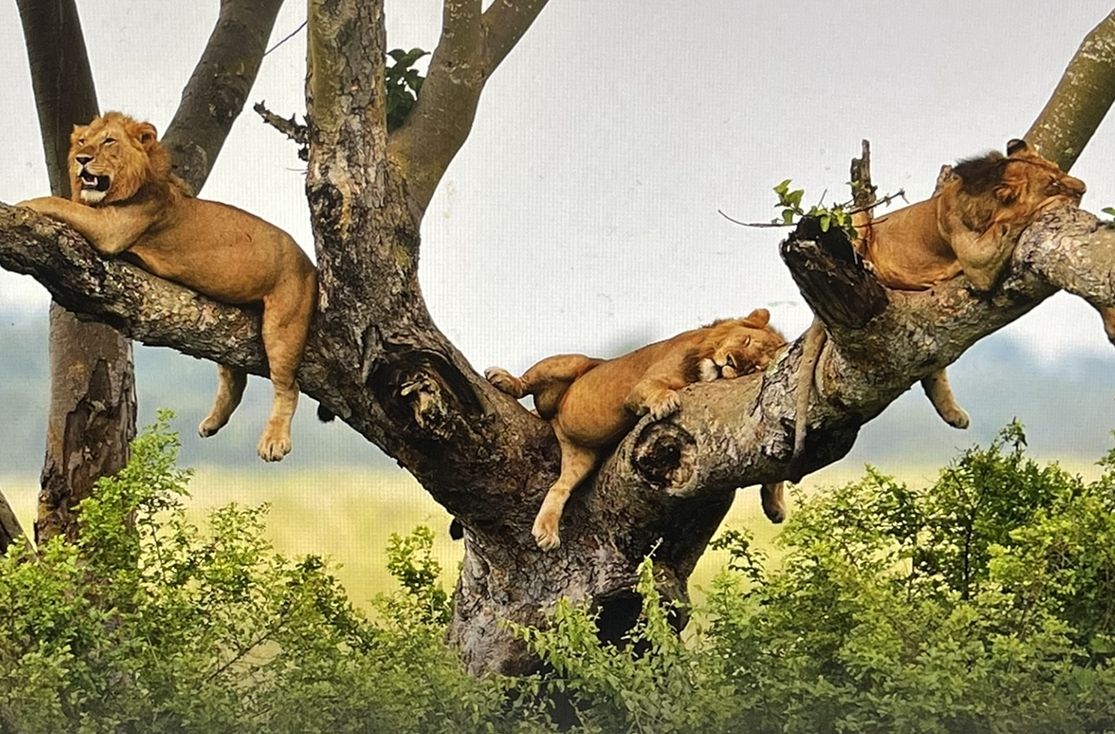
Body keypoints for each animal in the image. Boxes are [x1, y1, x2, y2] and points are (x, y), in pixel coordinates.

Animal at [18, 112, 317, 462]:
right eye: (81, 141)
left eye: (108, 141)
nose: (82, 159)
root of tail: (310, 264)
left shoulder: (111, 229)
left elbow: (59, 202)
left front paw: (22, 203)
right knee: (234, 377)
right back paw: (212, 423)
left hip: (284, 324)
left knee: (287, 386)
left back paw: (273, 441)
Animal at [486, 308, 787, 551]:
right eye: (745, 340)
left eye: (755, 366)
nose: (731, 363)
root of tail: (555, 419)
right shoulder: (642, 386)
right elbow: (656, 389)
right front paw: (665, 402)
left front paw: (776, 505)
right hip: (571, 362)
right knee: (527, 381)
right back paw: (504, 380)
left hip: (581, 456)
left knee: (560, 487)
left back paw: (546, 532)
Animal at [792, 139, 1086, 463]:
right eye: (1053, 182)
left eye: (1058, 169)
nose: (1083, 188)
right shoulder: (976, 263)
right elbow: (1011, 224)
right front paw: (1052, 204)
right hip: (857, 234)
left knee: (932, 369)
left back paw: (955, 416)